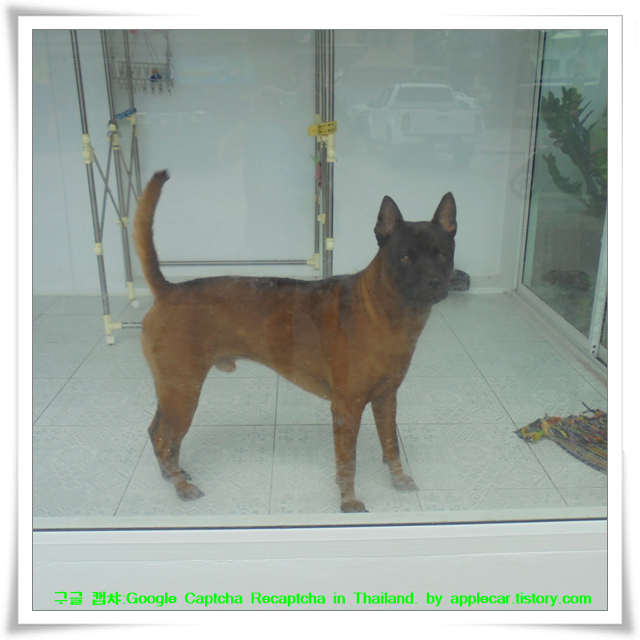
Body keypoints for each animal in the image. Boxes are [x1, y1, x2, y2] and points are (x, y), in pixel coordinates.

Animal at [133, 171, 457, 512]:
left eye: (442, 255)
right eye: (406, 257)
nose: (434, 283)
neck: (383, 311)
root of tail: (169, 291)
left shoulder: (386, 400)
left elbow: (391, 446)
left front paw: (398, 479)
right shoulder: (346, 408)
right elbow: (348, 462)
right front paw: (348, 500)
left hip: (173, 392)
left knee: (158, 432)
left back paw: (173, 473)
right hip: (183, 393)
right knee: (163, 437)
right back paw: (179, 484)